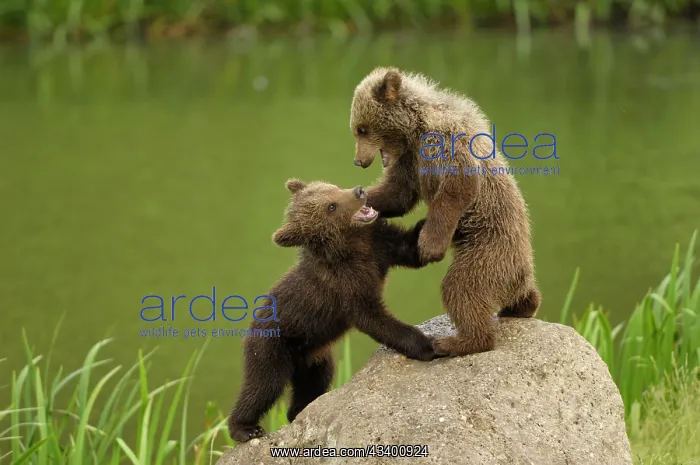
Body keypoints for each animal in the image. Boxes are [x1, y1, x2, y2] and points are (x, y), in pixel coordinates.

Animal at [227, 178, 441, 443]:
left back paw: (299, 410)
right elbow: (374, 319)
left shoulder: (379, 245)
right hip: (272, 345)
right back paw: (245, 428)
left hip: (314, 356)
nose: (359, 191)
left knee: (314, 383)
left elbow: (411, 249)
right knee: (263, 384)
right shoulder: (346, 287)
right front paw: (426, 344)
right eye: (331, 206)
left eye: (333, 187)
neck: (352, 245)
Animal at [349, 66, 541, 357]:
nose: (359, 161)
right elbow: (398, 193)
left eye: (362, 128)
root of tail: (522, 270)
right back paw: (523, 306)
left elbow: (457, 187)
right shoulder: (409, 160)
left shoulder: (444, 142)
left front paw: (429, 245)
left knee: (463, 288)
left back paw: (455, 342)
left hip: (489, 248)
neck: (414, 131)